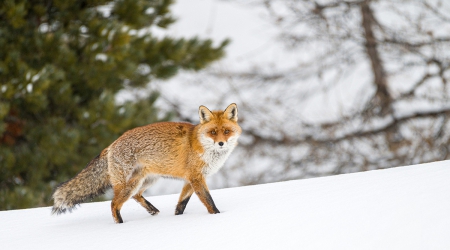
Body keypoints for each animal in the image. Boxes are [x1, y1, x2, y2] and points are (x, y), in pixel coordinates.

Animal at [51, 102, 243, 224]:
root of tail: (111, 145)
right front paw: (217, 216)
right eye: (213, 132)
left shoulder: (191, 180)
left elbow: (181, 204)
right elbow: (209, 201)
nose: (221, 143)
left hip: (146, 180)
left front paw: (178, 218)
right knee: (114, 204)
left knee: (136, 196)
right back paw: (121, 224)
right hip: (129, 184)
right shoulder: (196, 178)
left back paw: (153, 211)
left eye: (226, 131)